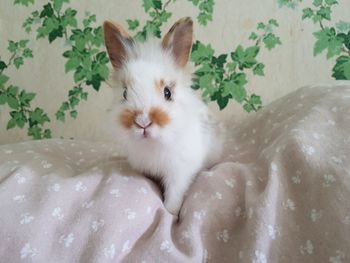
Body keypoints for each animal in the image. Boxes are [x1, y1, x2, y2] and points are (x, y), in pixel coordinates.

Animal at [103, 17, 221, 216]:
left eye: (167, 93)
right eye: (125, 93)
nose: (143, 122)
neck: (152, 144)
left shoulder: (179, 173)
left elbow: (174, 195)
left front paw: (171, 213)